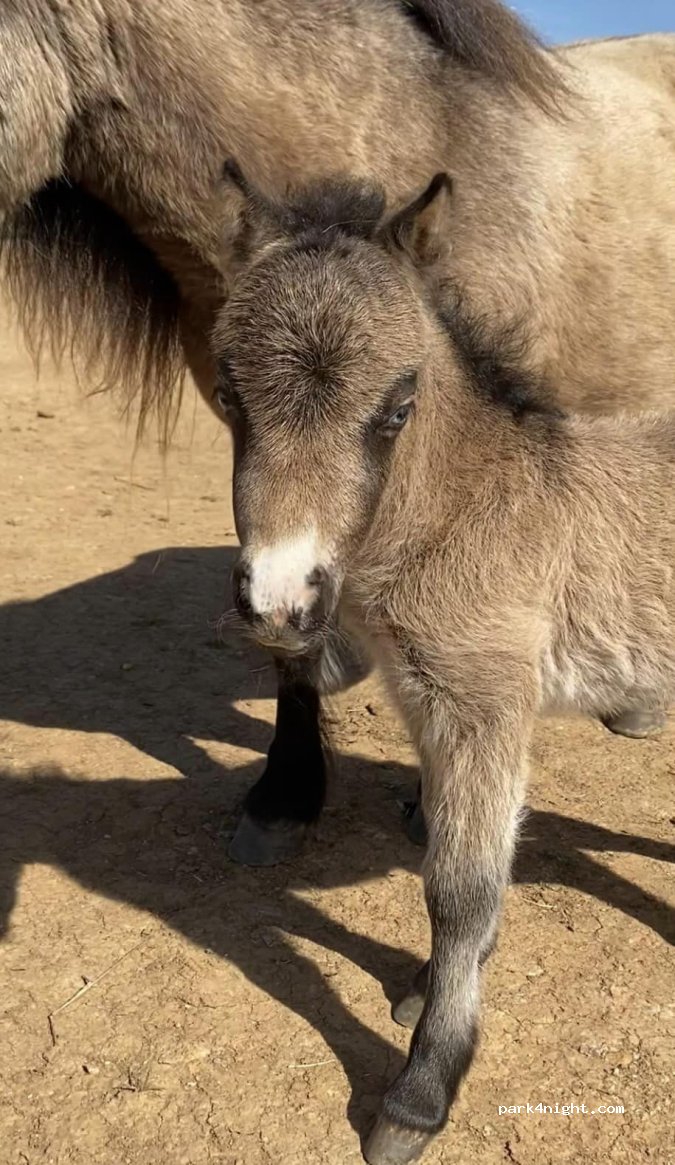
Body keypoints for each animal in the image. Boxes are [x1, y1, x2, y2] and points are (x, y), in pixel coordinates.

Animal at [212, 166, 675, 1165]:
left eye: (396, 409)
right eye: (227, 395)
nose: (278, 599)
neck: (468, 508)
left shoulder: (485, 703)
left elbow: (458, 889)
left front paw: (419, 1093)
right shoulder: (424, 698)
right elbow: (461, 864)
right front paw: (427, 986)